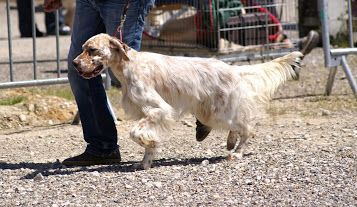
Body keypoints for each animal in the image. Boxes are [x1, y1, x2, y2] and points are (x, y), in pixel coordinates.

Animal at [73, 33, 302, 169]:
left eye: (92, 50)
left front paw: (149, 145)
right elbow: (145, 140)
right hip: (210, 112)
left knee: (247, 127)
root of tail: (233, 69)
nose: (74, 63)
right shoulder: (148, 114)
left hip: (219, 111)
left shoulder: (160, 110)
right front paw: (146, 161)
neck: (129, 65)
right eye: (83, 48)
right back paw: (230, 142)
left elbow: (135, 133)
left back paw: (237, 152)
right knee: (239, 125)